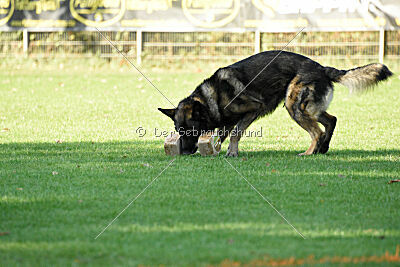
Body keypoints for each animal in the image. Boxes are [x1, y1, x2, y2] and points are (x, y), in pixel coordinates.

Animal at [158, 51, 392, 157]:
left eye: (191, 130)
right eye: (179, 130)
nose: (184, 152)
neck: (212, 98)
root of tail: (321, 67)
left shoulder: (252, 110)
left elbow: (235, 133)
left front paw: (232, 152)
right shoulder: (228, 120)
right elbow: (222, 134)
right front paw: (216, 148)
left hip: (294, 106)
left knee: (316, 131)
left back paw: (309, 153)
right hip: (309, 108)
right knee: (331, 120)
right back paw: (322, 148)